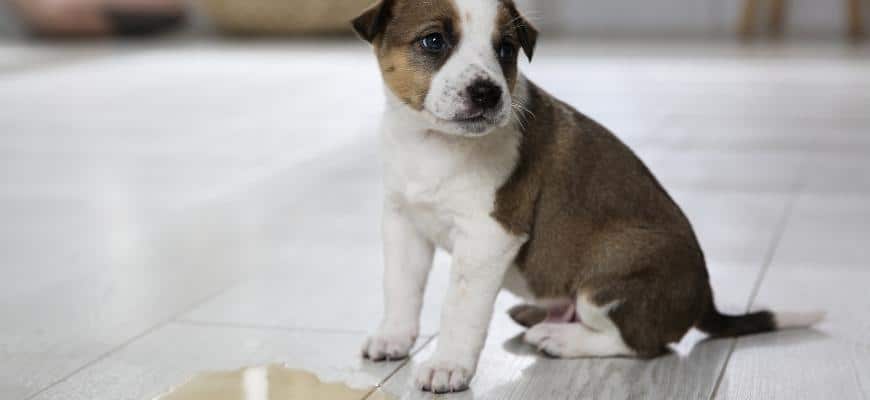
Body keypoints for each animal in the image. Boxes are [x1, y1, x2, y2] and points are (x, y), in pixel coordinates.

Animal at [350, 0, 820, 394]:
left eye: (505, 49)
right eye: (433, 41)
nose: (488, 92)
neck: (432, 143)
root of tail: (704, 298)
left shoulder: (488, 238)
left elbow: (460, 309)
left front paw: (448, 365)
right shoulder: (404, 222)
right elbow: (401, 287)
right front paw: (394, 337)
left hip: (610, 272)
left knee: (641, 343)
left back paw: (559, 337)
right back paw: (538, 315)